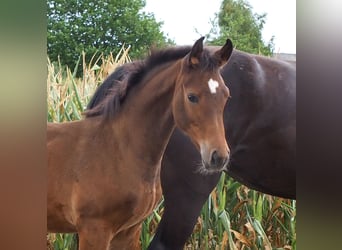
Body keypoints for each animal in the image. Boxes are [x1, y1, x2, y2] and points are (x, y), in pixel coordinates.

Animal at [47, 37, 232, 250]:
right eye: (192, 96)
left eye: (226, 95)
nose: (219, 156)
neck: (117, 150)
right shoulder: (93, 230)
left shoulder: (129, 231)